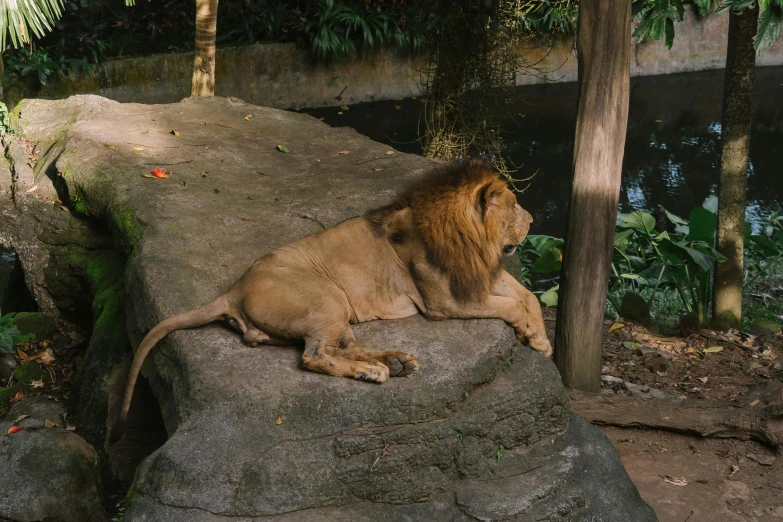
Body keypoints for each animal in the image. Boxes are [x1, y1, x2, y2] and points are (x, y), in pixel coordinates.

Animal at [110, 158, 552, 438]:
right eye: (515, 205)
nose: (533, 220)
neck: (473, 242)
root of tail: (232, 289)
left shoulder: (475, 276)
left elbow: (526, 295)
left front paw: (542, 340)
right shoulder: (444, 300)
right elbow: (512, 304)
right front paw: (533, 335)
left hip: (335, 311)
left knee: (342, 346)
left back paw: (395, 363)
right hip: (328, 297)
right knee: (315, 355)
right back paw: (374, 372)